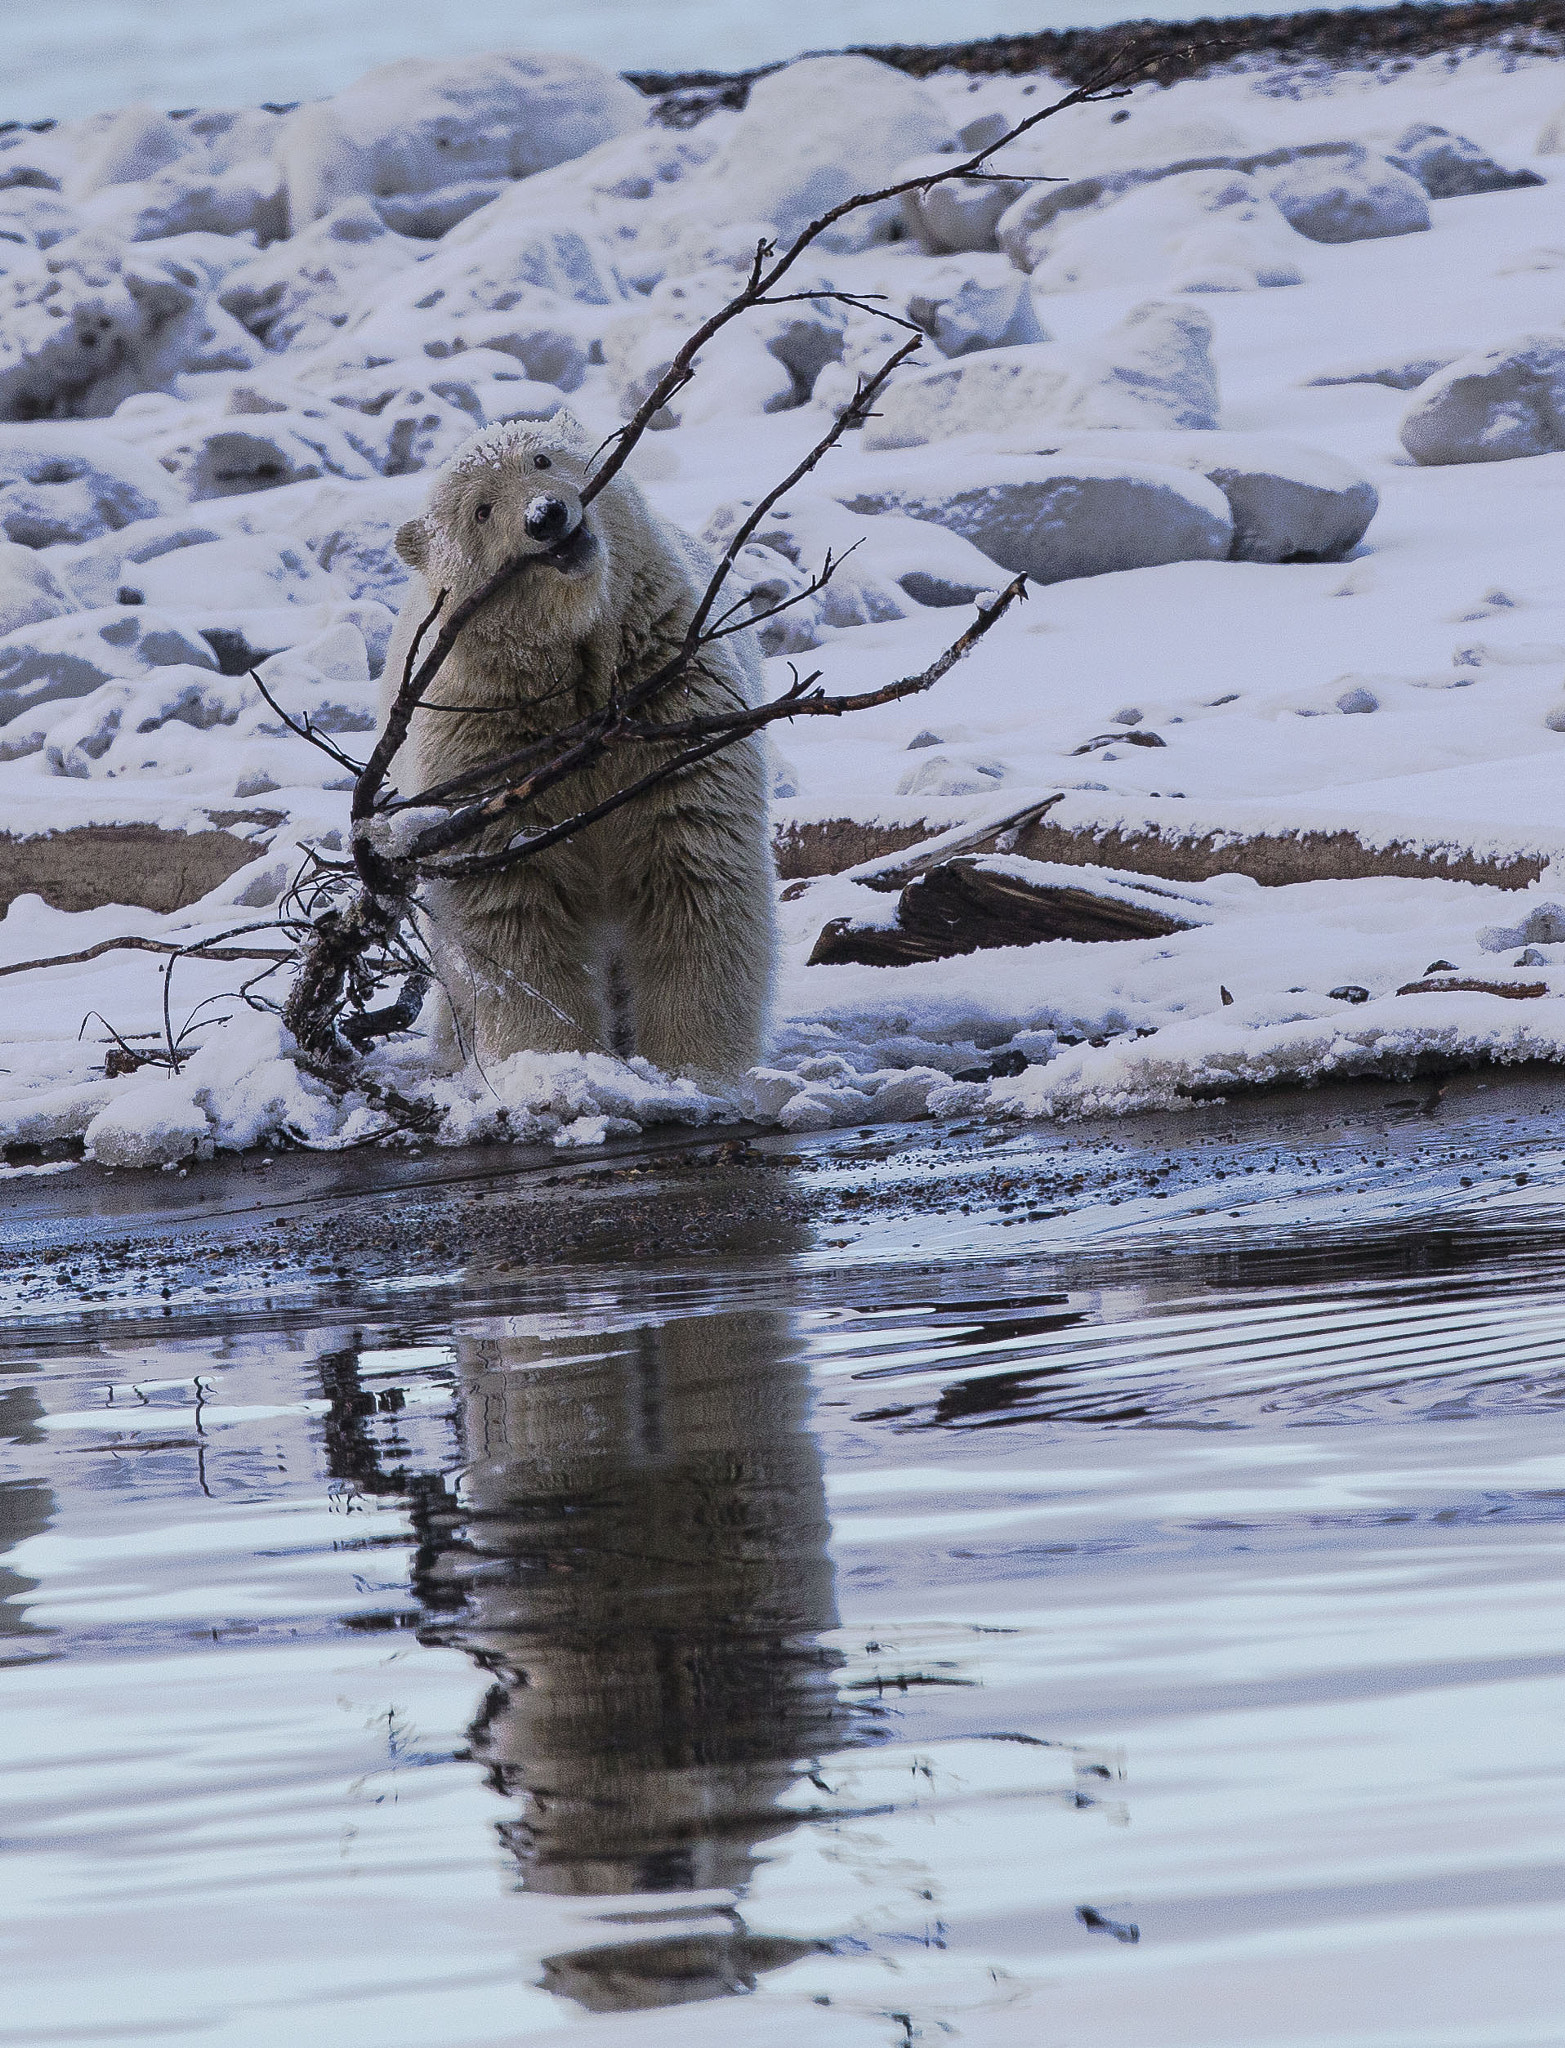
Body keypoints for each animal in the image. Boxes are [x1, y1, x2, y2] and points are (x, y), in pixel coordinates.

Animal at [376, 413, 774, 1089]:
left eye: (542, 459)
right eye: (481, 510)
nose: (546, 515)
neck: (576, 655)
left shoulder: (670, 697)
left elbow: (692, 875)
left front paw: (692, 1066)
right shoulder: (490, 745)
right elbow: (515, 909)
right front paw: (554, 1064)